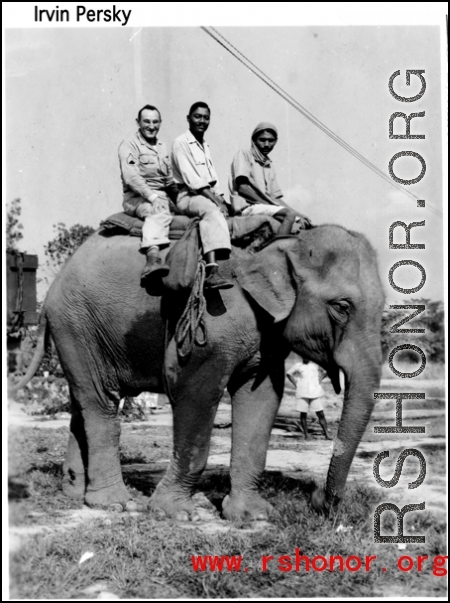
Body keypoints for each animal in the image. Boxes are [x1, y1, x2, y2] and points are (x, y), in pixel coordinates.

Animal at [11, 224, 384, 520]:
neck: (282, 244)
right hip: (76, 325)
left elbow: (262, 397)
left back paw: (77, 494)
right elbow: (194, 391)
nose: (321, 501)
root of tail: (51, 293)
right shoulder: (214, 319)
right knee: (101, 404)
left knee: (82, 403)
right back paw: (115, 504)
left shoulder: (266, 336)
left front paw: (252, 516)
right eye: (341, 307)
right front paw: (177, 514)